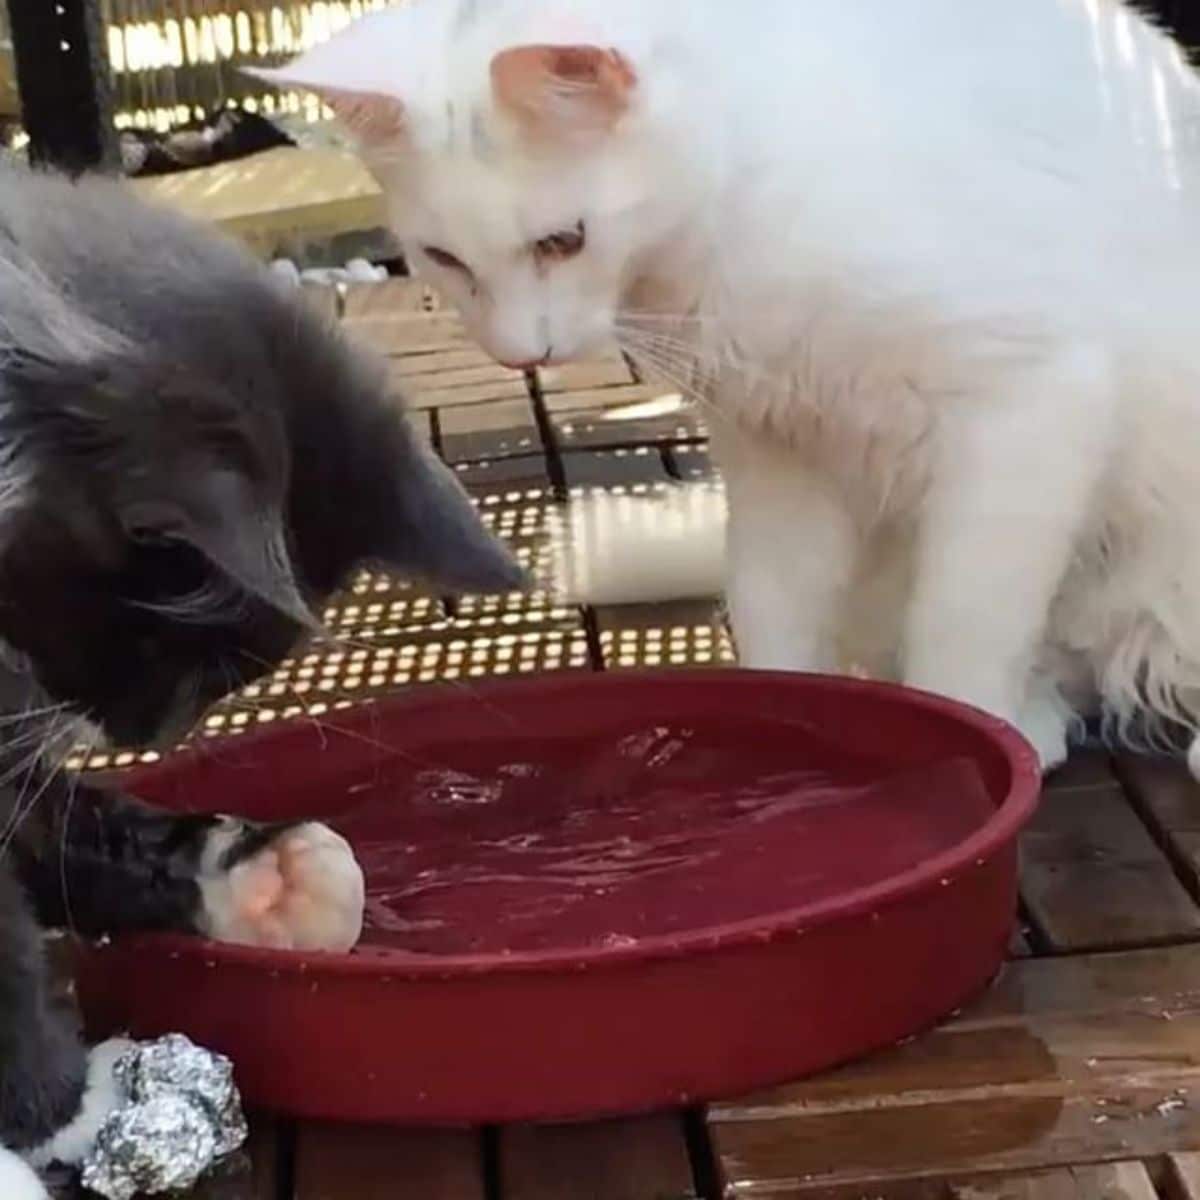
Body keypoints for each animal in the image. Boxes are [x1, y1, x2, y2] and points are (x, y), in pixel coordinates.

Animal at [267, 0, 1200, 772]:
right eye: (445, 259)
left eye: (564, 241)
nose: (521, 356)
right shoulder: (781, 450)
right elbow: (773, 614)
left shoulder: (1027, 405)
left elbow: (964, 628)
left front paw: (982, 746)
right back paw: (1042, 718)